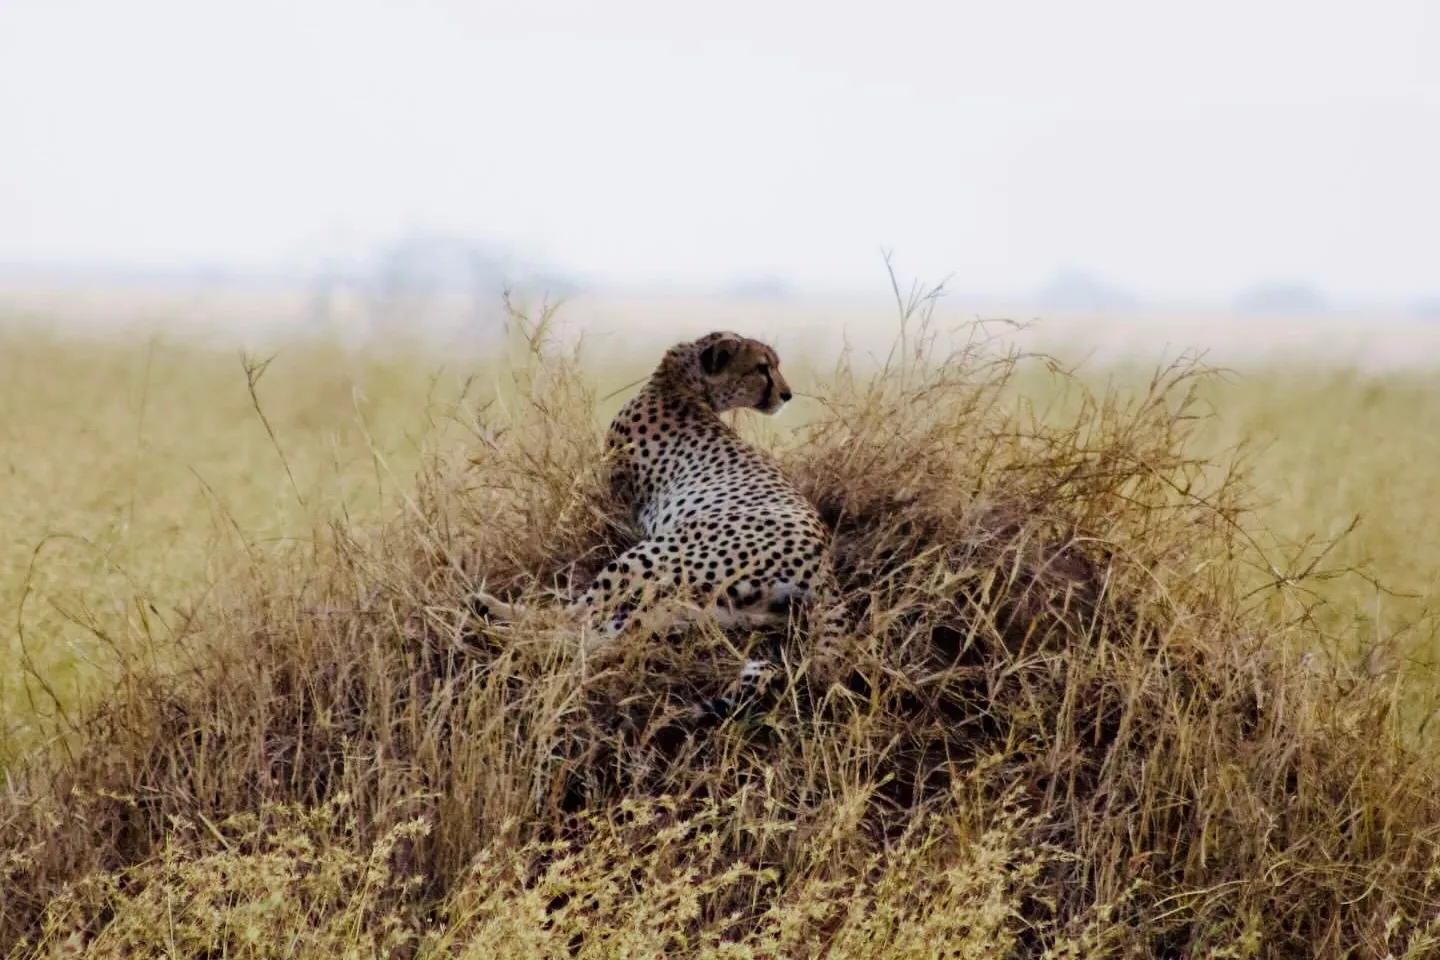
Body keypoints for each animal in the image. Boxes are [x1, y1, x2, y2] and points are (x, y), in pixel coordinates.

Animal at [472, 330, 844, 721]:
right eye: (762, 368)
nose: (787, 394)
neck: (681, 384)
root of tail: (825, 565)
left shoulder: (618, 508)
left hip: (653, 559)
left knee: (581, 618)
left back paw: (497, 616)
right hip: (706, 607)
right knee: (614, 634)